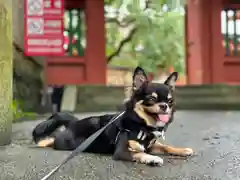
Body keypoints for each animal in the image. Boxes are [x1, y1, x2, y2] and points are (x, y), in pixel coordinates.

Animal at [32, 66, 193, 166]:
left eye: (170, 101)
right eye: (151, 99)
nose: (164, 106)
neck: (142, 125)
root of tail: (73, 122)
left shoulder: (150, 145)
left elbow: (165, 146)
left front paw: (181, 150)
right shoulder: (121, 152)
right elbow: (138, 154)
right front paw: (152, 158)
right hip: (65, 143)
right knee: (53, 140)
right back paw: (43, 142)